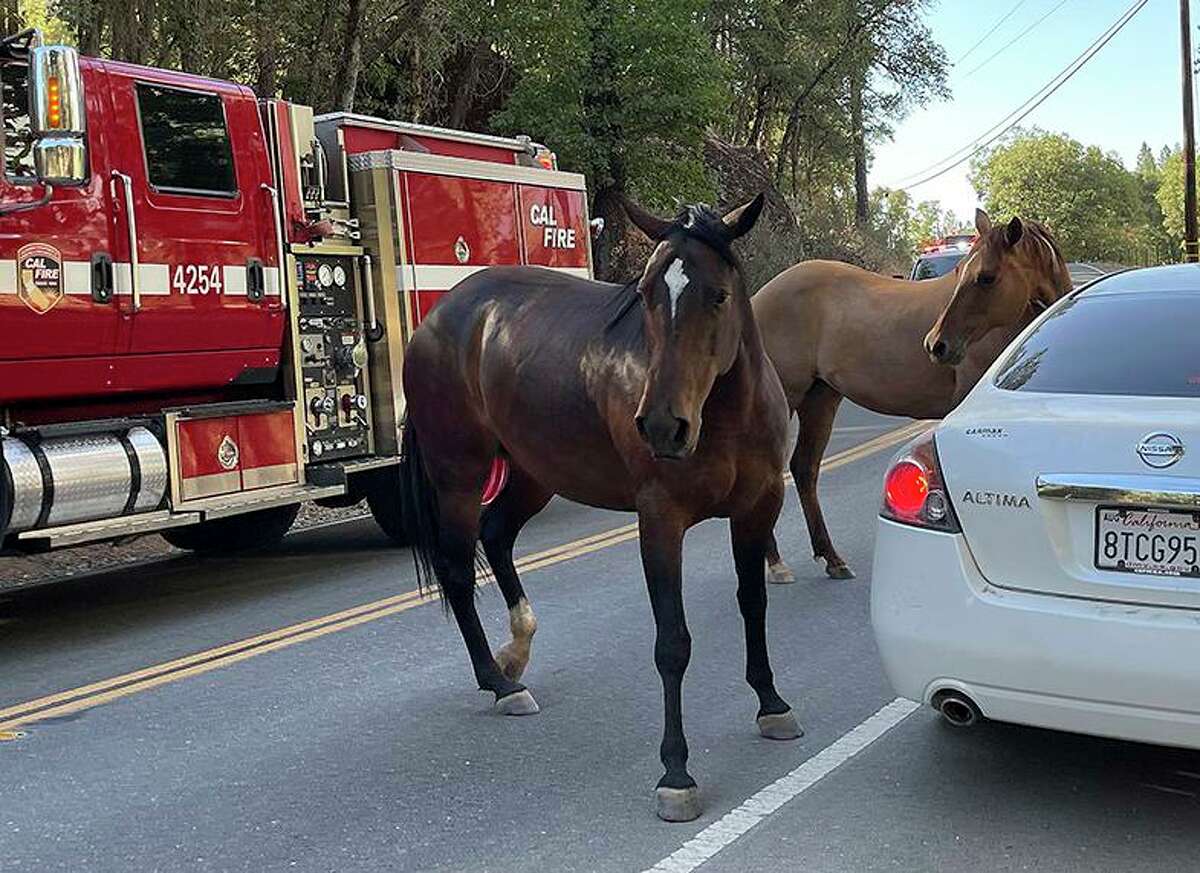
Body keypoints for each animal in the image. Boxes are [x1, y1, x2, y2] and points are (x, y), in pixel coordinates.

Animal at [396, 194, 806, 820]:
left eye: (718, 294)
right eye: (648, 294)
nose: (661, 426)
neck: (726, 418)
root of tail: (439, 317)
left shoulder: (759, 507)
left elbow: (753, 603)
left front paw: (771, 703)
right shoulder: (660, 521)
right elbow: (672, 643)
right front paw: (676, 771)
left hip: (533, 473)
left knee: (497, 536)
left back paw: (516, 650)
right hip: (459, 477)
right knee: (460, 571)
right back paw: (500, 682)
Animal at [753, 208, 1075, 582]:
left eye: (986, 277)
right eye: (962, 273)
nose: (936, 344)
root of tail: (757, 298)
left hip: (821, 399)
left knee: (804, 469)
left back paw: (831, 558)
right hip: (787, 400)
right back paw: (776, 562)